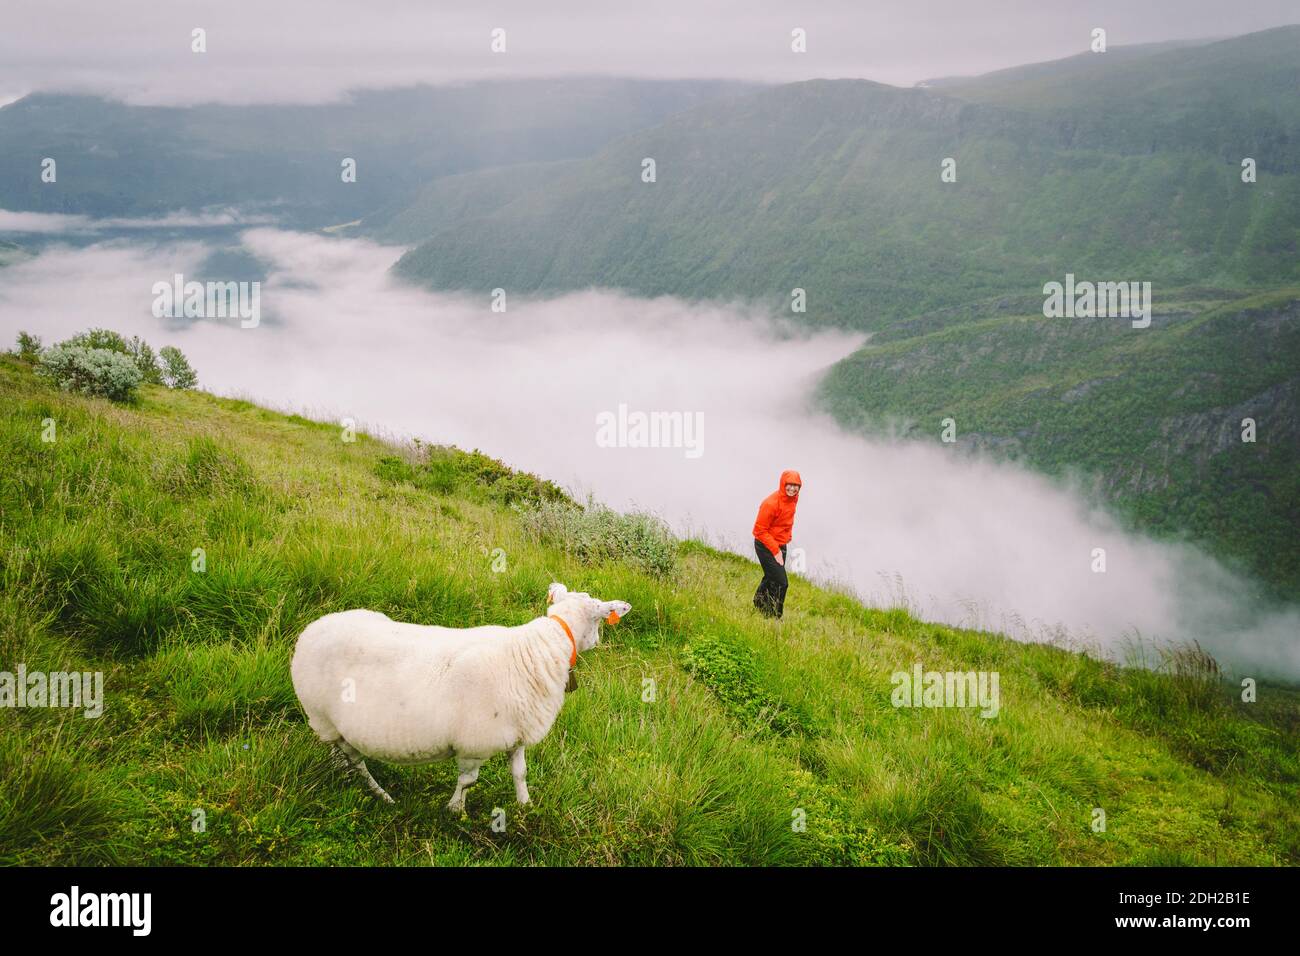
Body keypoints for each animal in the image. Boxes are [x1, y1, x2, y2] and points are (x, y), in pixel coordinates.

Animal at [288, 580, 629, 811]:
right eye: (599, 618)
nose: (598, 641)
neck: (537, 648)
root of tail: (310, 629)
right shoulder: (474, 744)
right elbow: (467, 781)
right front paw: (455, 810)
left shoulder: (516, 732)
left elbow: (519, 773)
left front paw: (525, 806)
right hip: (322, 719)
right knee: (354, 761)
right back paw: (381, 794)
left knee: (343, 759)